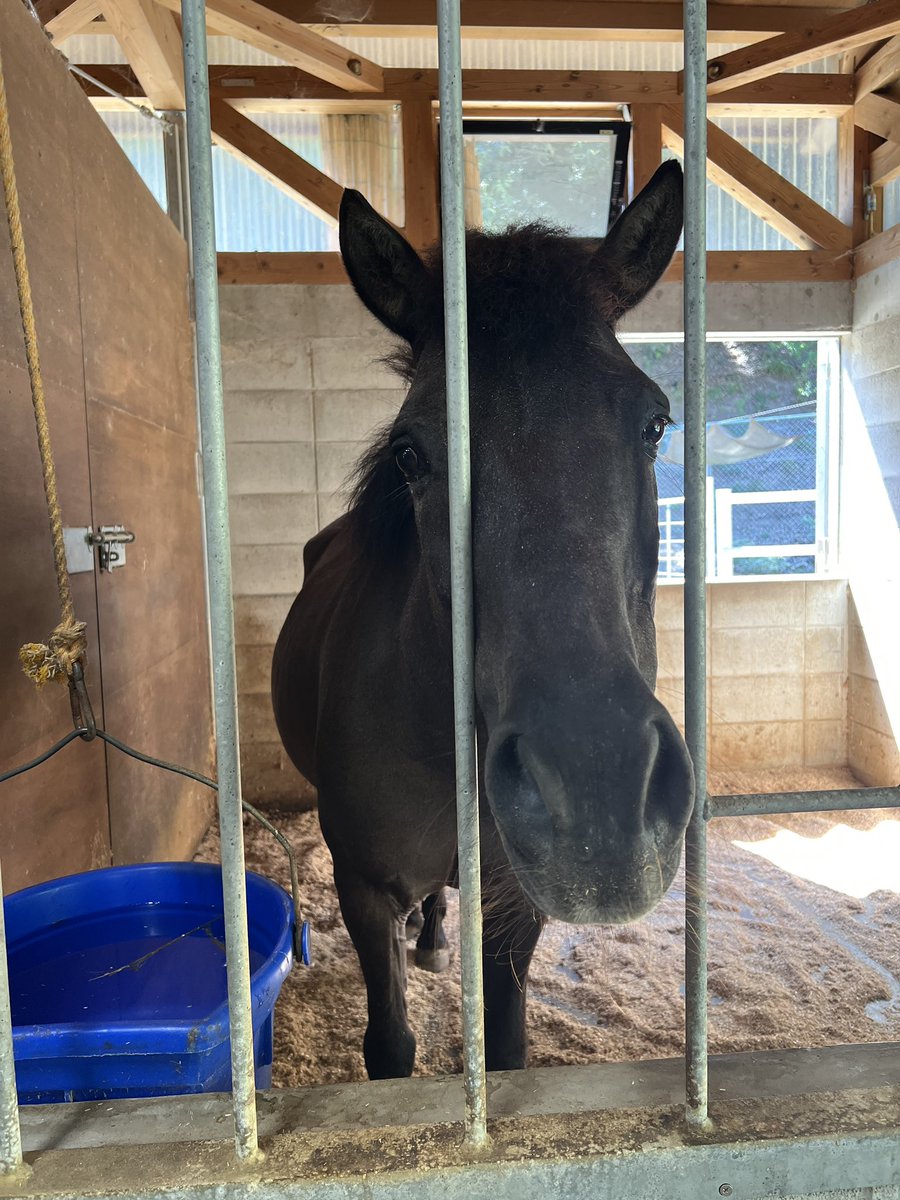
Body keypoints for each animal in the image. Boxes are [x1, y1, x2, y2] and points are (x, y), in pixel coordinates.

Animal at [272, 160, 695, 1080]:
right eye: (411, 453)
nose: (598, 795)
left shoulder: (515, 904)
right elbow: (390, 1048)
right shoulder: (361, 891)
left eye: (655, 422)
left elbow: (504, 1048)